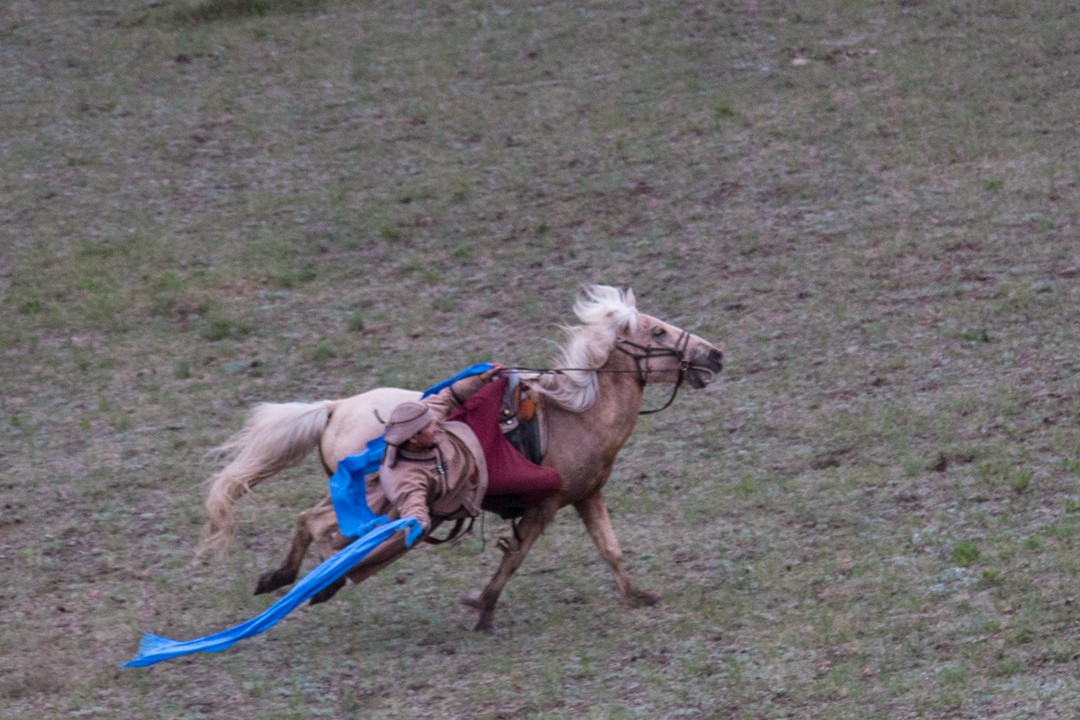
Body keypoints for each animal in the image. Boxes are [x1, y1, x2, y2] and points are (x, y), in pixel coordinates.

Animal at [203, 284, 725, 630]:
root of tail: (335, 408)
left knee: (308, 521)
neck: (578, 415)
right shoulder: (544, 506)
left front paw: (638, 596)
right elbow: (515, 558)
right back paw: (319, 581)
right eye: (657, 333)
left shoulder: (586, 497)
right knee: (316, 525)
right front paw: (482, 608)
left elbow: (610, 549)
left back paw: (282, 578)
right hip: (372, 498)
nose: (715, 354)